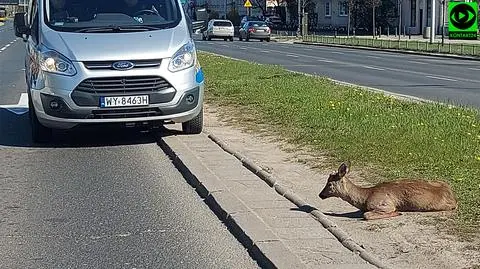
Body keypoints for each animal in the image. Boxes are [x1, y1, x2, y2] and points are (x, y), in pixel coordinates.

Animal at [318, 162, 458, 219]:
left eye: (329, 184)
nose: (320, 194)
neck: (365, 198)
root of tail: (453, 197)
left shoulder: (384, 204)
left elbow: (366, 215)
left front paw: (397, 212)